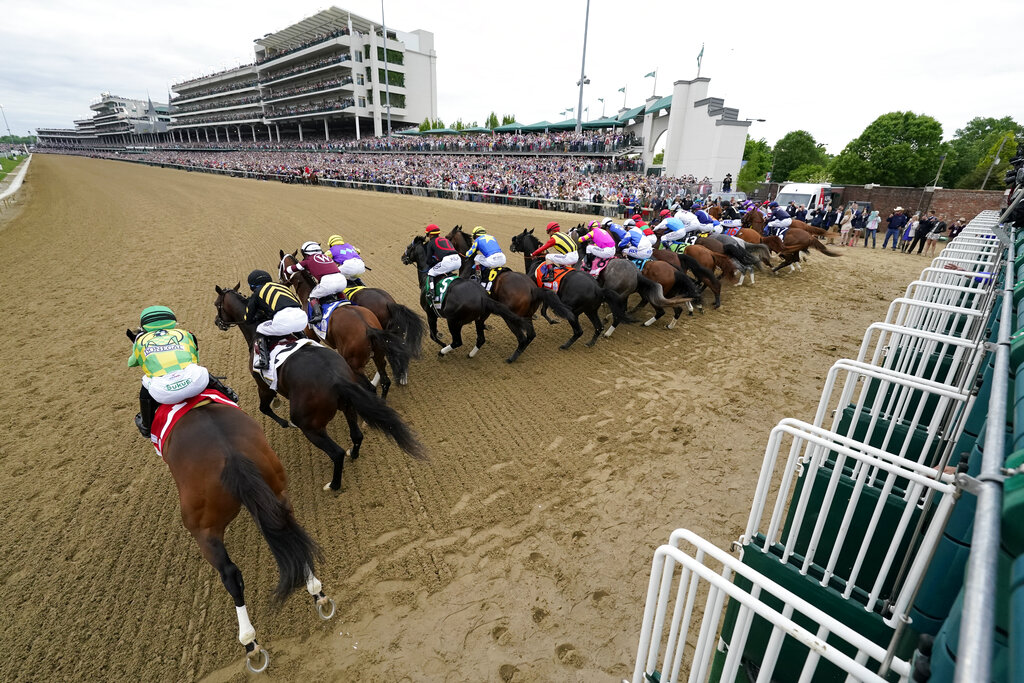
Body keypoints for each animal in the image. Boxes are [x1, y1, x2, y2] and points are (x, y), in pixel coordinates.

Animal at [123, 327, 331, 675]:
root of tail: (231, 457)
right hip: (276, 488)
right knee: (292, 532)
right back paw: (317, 592)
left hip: (203, 528)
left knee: (231, 575)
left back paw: (250, 641)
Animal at [214, 282, 425, 491]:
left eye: (217, 304)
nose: (217, 322)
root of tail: (337, 379)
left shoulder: (264, 386)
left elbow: (264, 408)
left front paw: (285, 423)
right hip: (353, 393)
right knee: (359, 431)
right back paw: (355, 450)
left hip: (312, 423)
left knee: (337, 452)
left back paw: (334, 484)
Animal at [280, 249, 411, 395]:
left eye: (279, 266)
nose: (281, 282)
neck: (307, 295)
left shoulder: (311, 335)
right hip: (381, 347)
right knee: (387, 376)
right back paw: (401, 377)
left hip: (353, 363)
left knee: (370, 386)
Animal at [399, 235, 532, 362]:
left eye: (409, 247)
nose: (402, 257)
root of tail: (483, 297)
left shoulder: (430, 313)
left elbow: (433, 335)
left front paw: (442, 344)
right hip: (480, 319)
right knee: (481, 339)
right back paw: (471, 354)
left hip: (453, 321)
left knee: (457, 341)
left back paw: (442, 353)